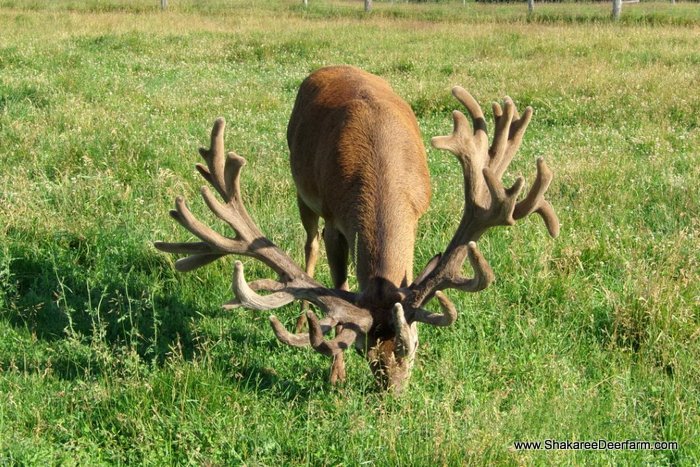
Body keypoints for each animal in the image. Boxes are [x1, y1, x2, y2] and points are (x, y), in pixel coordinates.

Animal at [156, 65, 560, 392]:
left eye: (413, 348)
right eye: (366, 352)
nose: (391, 393)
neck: (382, 167)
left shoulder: (419, 214)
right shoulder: (335, 221)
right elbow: (339, 284)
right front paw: (335, 374)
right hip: (303, 194)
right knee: (310, 245)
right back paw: (302, 313)